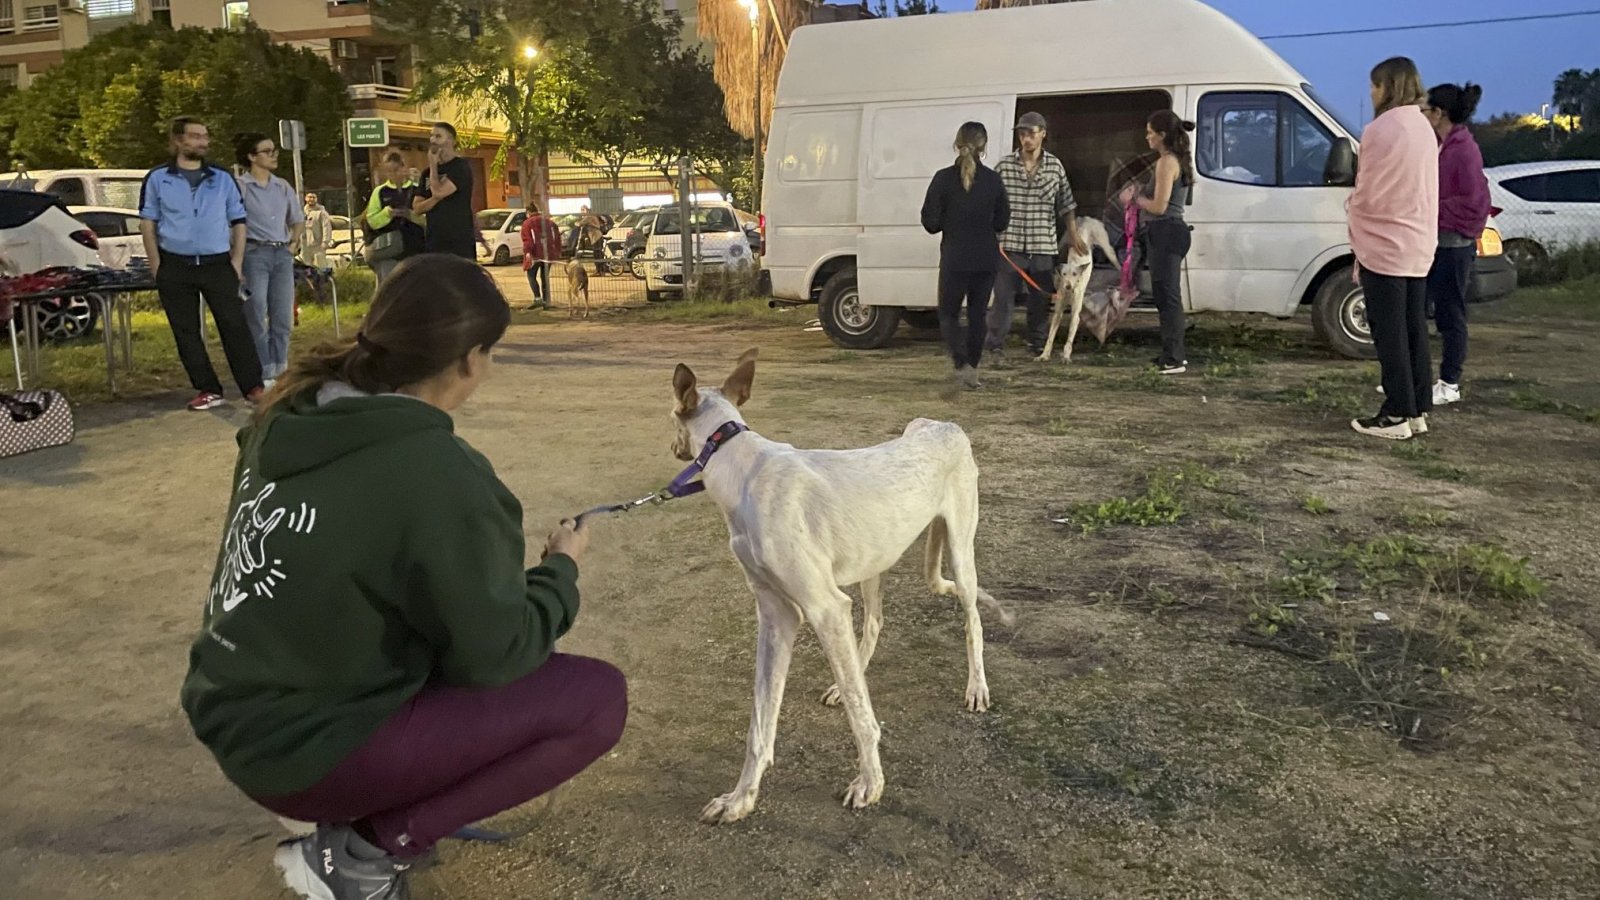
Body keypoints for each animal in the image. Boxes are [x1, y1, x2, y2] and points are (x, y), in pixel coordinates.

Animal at [668, 349, 1004, 819]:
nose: (675, 449)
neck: (738, 464)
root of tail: (940, 423)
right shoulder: (777, 615)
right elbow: (761, 723)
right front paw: (741, 798)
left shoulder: (824, 607)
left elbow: (863, 720)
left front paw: (871, 784)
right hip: (872, 562)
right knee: (876, 622)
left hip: (960, 549)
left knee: (972, 620)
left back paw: (976, 688)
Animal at [1030, 216, 1120, 358]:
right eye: (1064, 274)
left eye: (1074, 274)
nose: (1068, 286)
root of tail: (1087, 218)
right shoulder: (1058, 311)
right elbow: (1050, 336)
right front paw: (1044, 355)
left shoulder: (1075, 313)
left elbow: (1070, 337)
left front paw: (1066, 356)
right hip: (1064, 241)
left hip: (1106, 247)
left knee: (1116, 261)